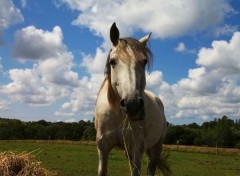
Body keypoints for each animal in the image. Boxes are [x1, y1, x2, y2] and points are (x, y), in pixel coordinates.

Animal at [94, 22, 172, 175]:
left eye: (144, 61)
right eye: (112, 61)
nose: (132, 105)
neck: (117, 113)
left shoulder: (137, 147)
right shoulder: (103, 147)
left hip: (156, 147)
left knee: (151, 168)